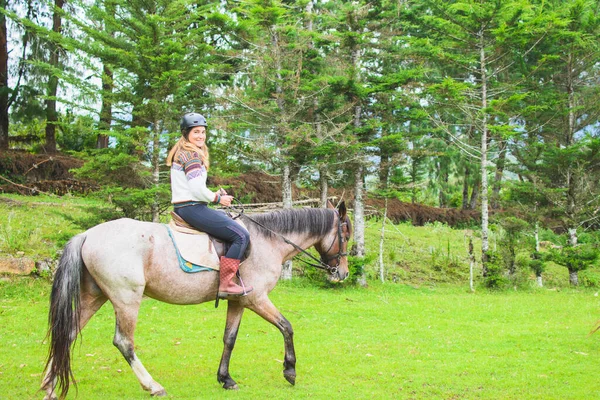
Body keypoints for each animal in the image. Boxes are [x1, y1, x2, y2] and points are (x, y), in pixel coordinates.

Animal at [41, 202, 352, 398]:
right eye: (346, 235)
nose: (343, 273)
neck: (268, 241)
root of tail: (87, 234)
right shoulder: (257, 299)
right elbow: (287, 327)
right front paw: (290, 370)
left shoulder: (238, 302)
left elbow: (229, 338)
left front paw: (225, 379)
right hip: (126, 299)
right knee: (124, 342)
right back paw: (153, 386)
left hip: (95, 296)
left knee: (67, 334)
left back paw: (49, 386)